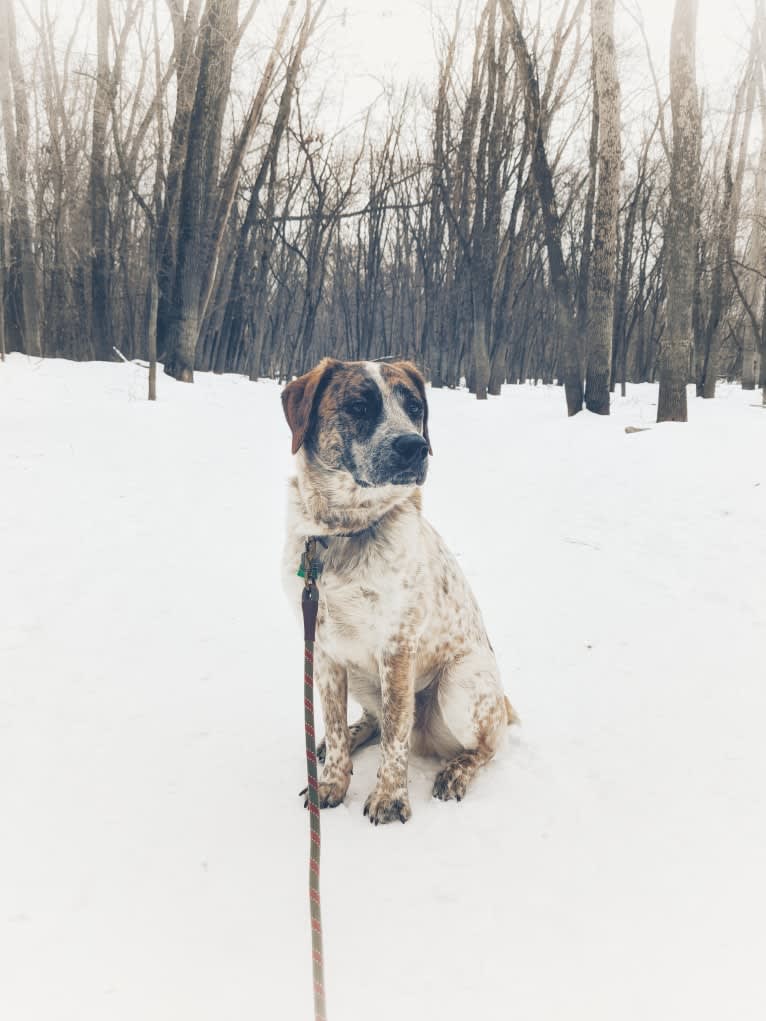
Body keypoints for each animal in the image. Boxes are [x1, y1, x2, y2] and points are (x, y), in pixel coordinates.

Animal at [281, 359, 516, 820]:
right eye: (359, 406)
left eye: (415, 408)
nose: (414, 446)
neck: (343, 532)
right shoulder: (324, 649)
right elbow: (334, 722)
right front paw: (331, 783)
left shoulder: (397, 647)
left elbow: (395, 734)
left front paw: (389, 798)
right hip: (360, 675)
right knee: (367, 723)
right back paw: (344, 739)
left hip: (460, 684)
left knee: (484, 748)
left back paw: (456, 772)